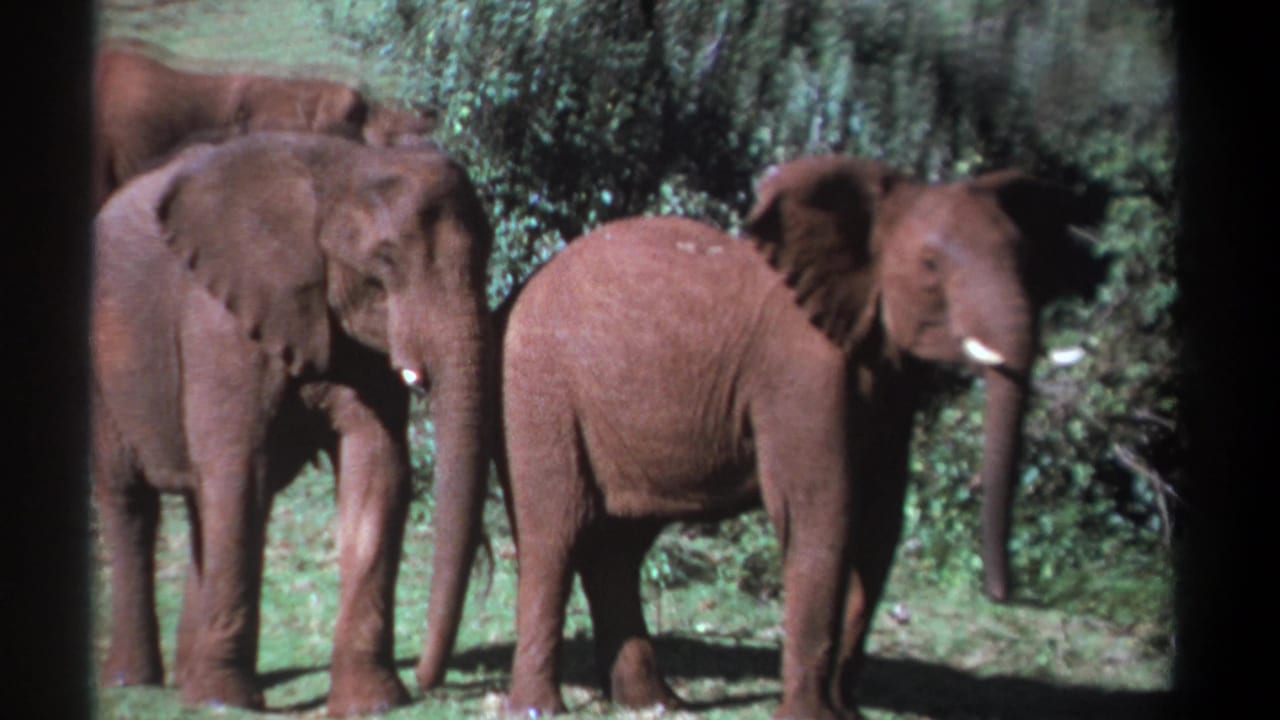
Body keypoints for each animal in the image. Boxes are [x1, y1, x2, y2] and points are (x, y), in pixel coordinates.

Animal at [90, 131, 491, 716]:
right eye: (385, 261)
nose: (428, 680)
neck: (343, 169)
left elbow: (378, 471)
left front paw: (373, 702)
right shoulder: (220, 322)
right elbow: (239, 474)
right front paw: (227, 702)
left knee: (200, 503)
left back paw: (187, 680)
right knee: (131, 501)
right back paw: (136, 682)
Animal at [495, 155, 1102, 718]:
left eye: (1027, 261)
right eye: (930, 265)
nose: (1003, 594)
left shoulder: (887, 381)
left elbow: (879, 524)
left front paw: (847, 712)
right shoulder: (800, 374)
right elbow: (824, 511)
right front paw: (814, 716)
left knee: (618, 548)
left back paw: (656, 704)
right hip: (537, 396)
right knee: (554, 532)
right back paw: (540, 708)